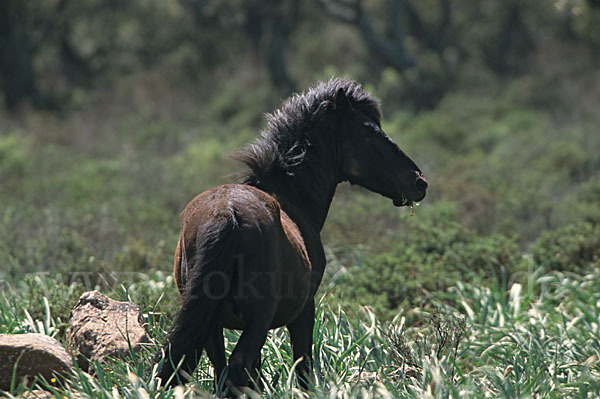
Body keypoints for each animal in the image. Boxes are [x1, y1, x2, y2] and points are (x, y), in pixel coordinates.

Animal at [155, 78, 426, 394]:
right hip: (257, 320)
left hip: (211, 324)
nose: (419, 182)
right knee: (236, 369)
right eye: (369, 135)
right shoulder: (304, 311)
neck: (291, 199)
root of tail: (226, 214)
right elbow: (303, 366)